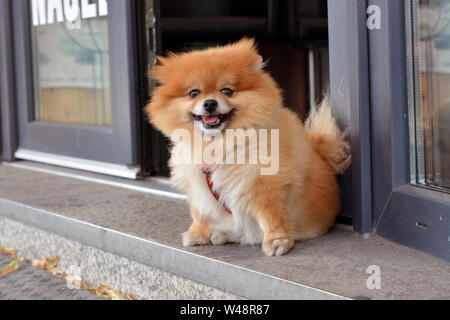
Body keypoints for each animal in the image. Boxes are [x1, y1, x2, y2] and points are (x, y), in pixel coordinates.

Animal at [146, 38, 350, 256]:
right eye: (194, 93)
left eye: (227, 91)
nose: (209, 103)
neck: (218, 143)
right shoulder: (196, 180)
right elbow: (200, 212)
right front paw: (198, 233)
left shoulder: (264, 183)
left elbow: (271, 216)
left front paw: (277, 241)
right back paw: (222, 234)